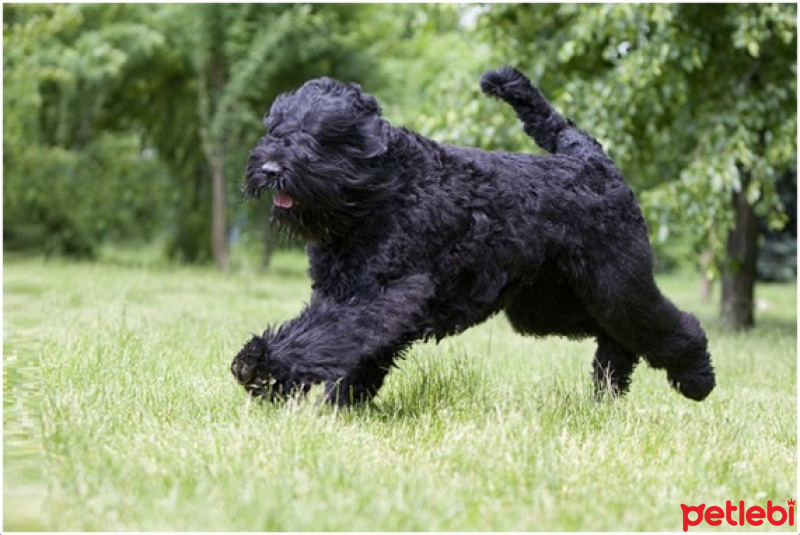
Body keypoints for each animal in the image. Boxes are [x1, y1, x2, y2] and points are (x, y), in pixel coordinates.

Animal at [228, 69, 716, 408]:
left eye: (320, 135)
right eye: (274, 128)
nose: (269, 168)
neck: (383, 189)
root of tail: (592, 158)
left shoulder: (383, 293)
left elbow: (323, 335)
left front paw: (260, 365)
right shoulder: (348, 293)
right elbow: (348, 347)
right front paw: (340, 405)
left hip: (615, 280)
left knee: (666, 324)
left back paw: (697, 379)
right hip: (548, 304)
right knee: (614, 331)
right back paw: (609, 384)